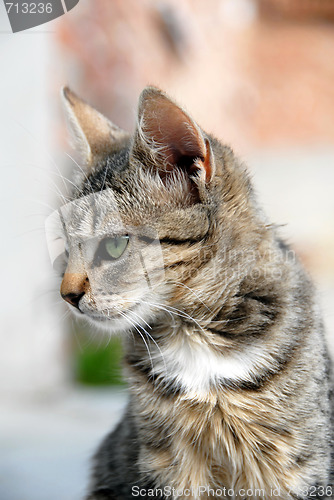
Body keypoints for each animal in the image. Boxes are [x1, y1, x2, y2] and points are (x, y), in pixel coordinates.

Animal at [56, 87, 332, 500]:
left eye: (115, 245)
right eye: (67, 248)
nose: (67, 294)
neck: (198, 336)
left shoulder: (299, 465)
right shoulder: (167, 467)